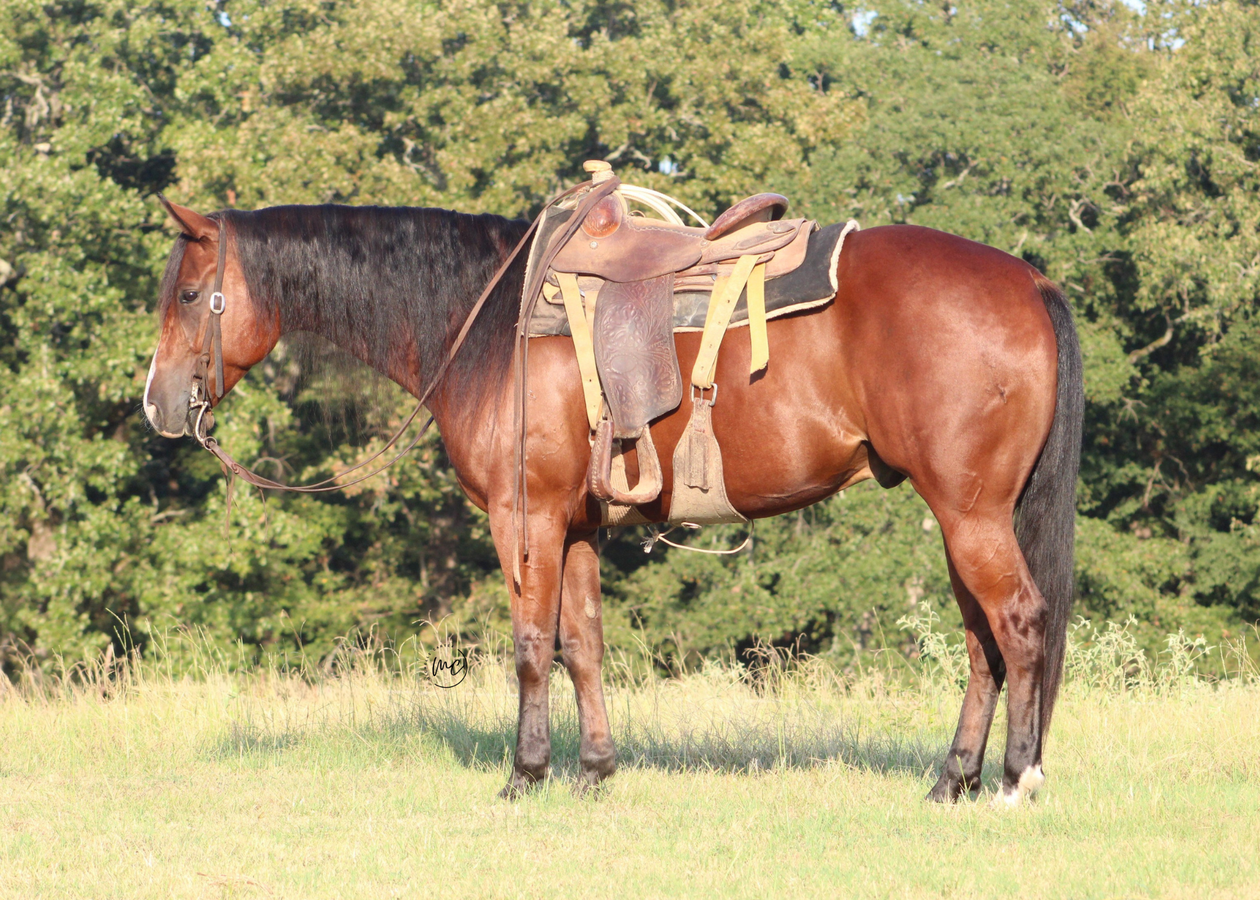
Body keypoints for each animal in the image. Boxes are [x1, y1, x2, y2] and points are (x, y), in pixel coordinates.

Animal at [143, 195, 1082, 805]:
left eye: (188, 295)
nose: (157, 406)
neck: (489, 326)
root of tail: (1029, 282)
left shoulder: (523, 518)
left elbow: (532, 646)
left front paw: (525, 774)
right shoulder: (577, 527)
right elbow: (584, 645)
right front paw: (595, 770)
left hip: (970, 515)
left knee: (1019, 623)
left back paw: (1018, 778)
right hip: (965, 517)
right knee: (982, 645)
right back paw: (954, 779)